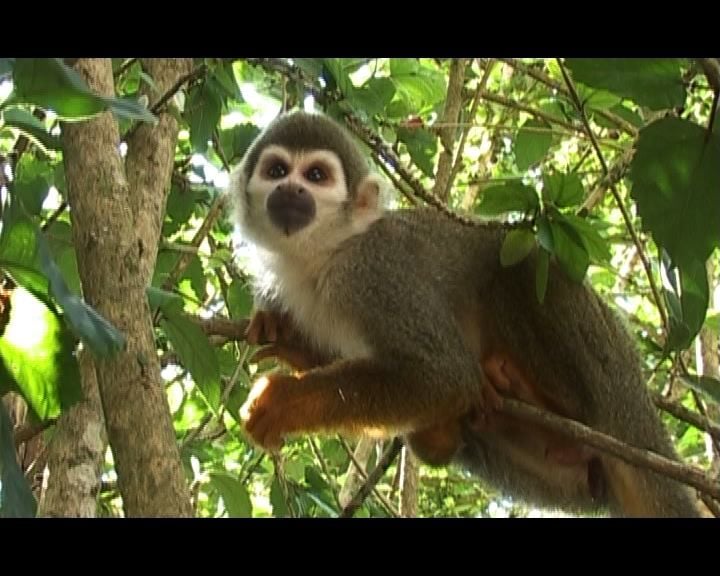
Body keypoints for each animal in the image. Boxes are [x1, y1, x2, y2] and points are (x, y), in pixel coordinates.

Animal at [228, 109, 700, 516]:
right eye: (276, 171)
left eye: (316, 176)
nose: (291, 190)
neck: (321, 258)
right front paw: (287, 340)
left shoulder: (375, 274)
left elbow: (444, 375)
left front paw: (284, 400)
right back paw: (444, 433)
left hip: (607, 372)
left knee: (523, 263)